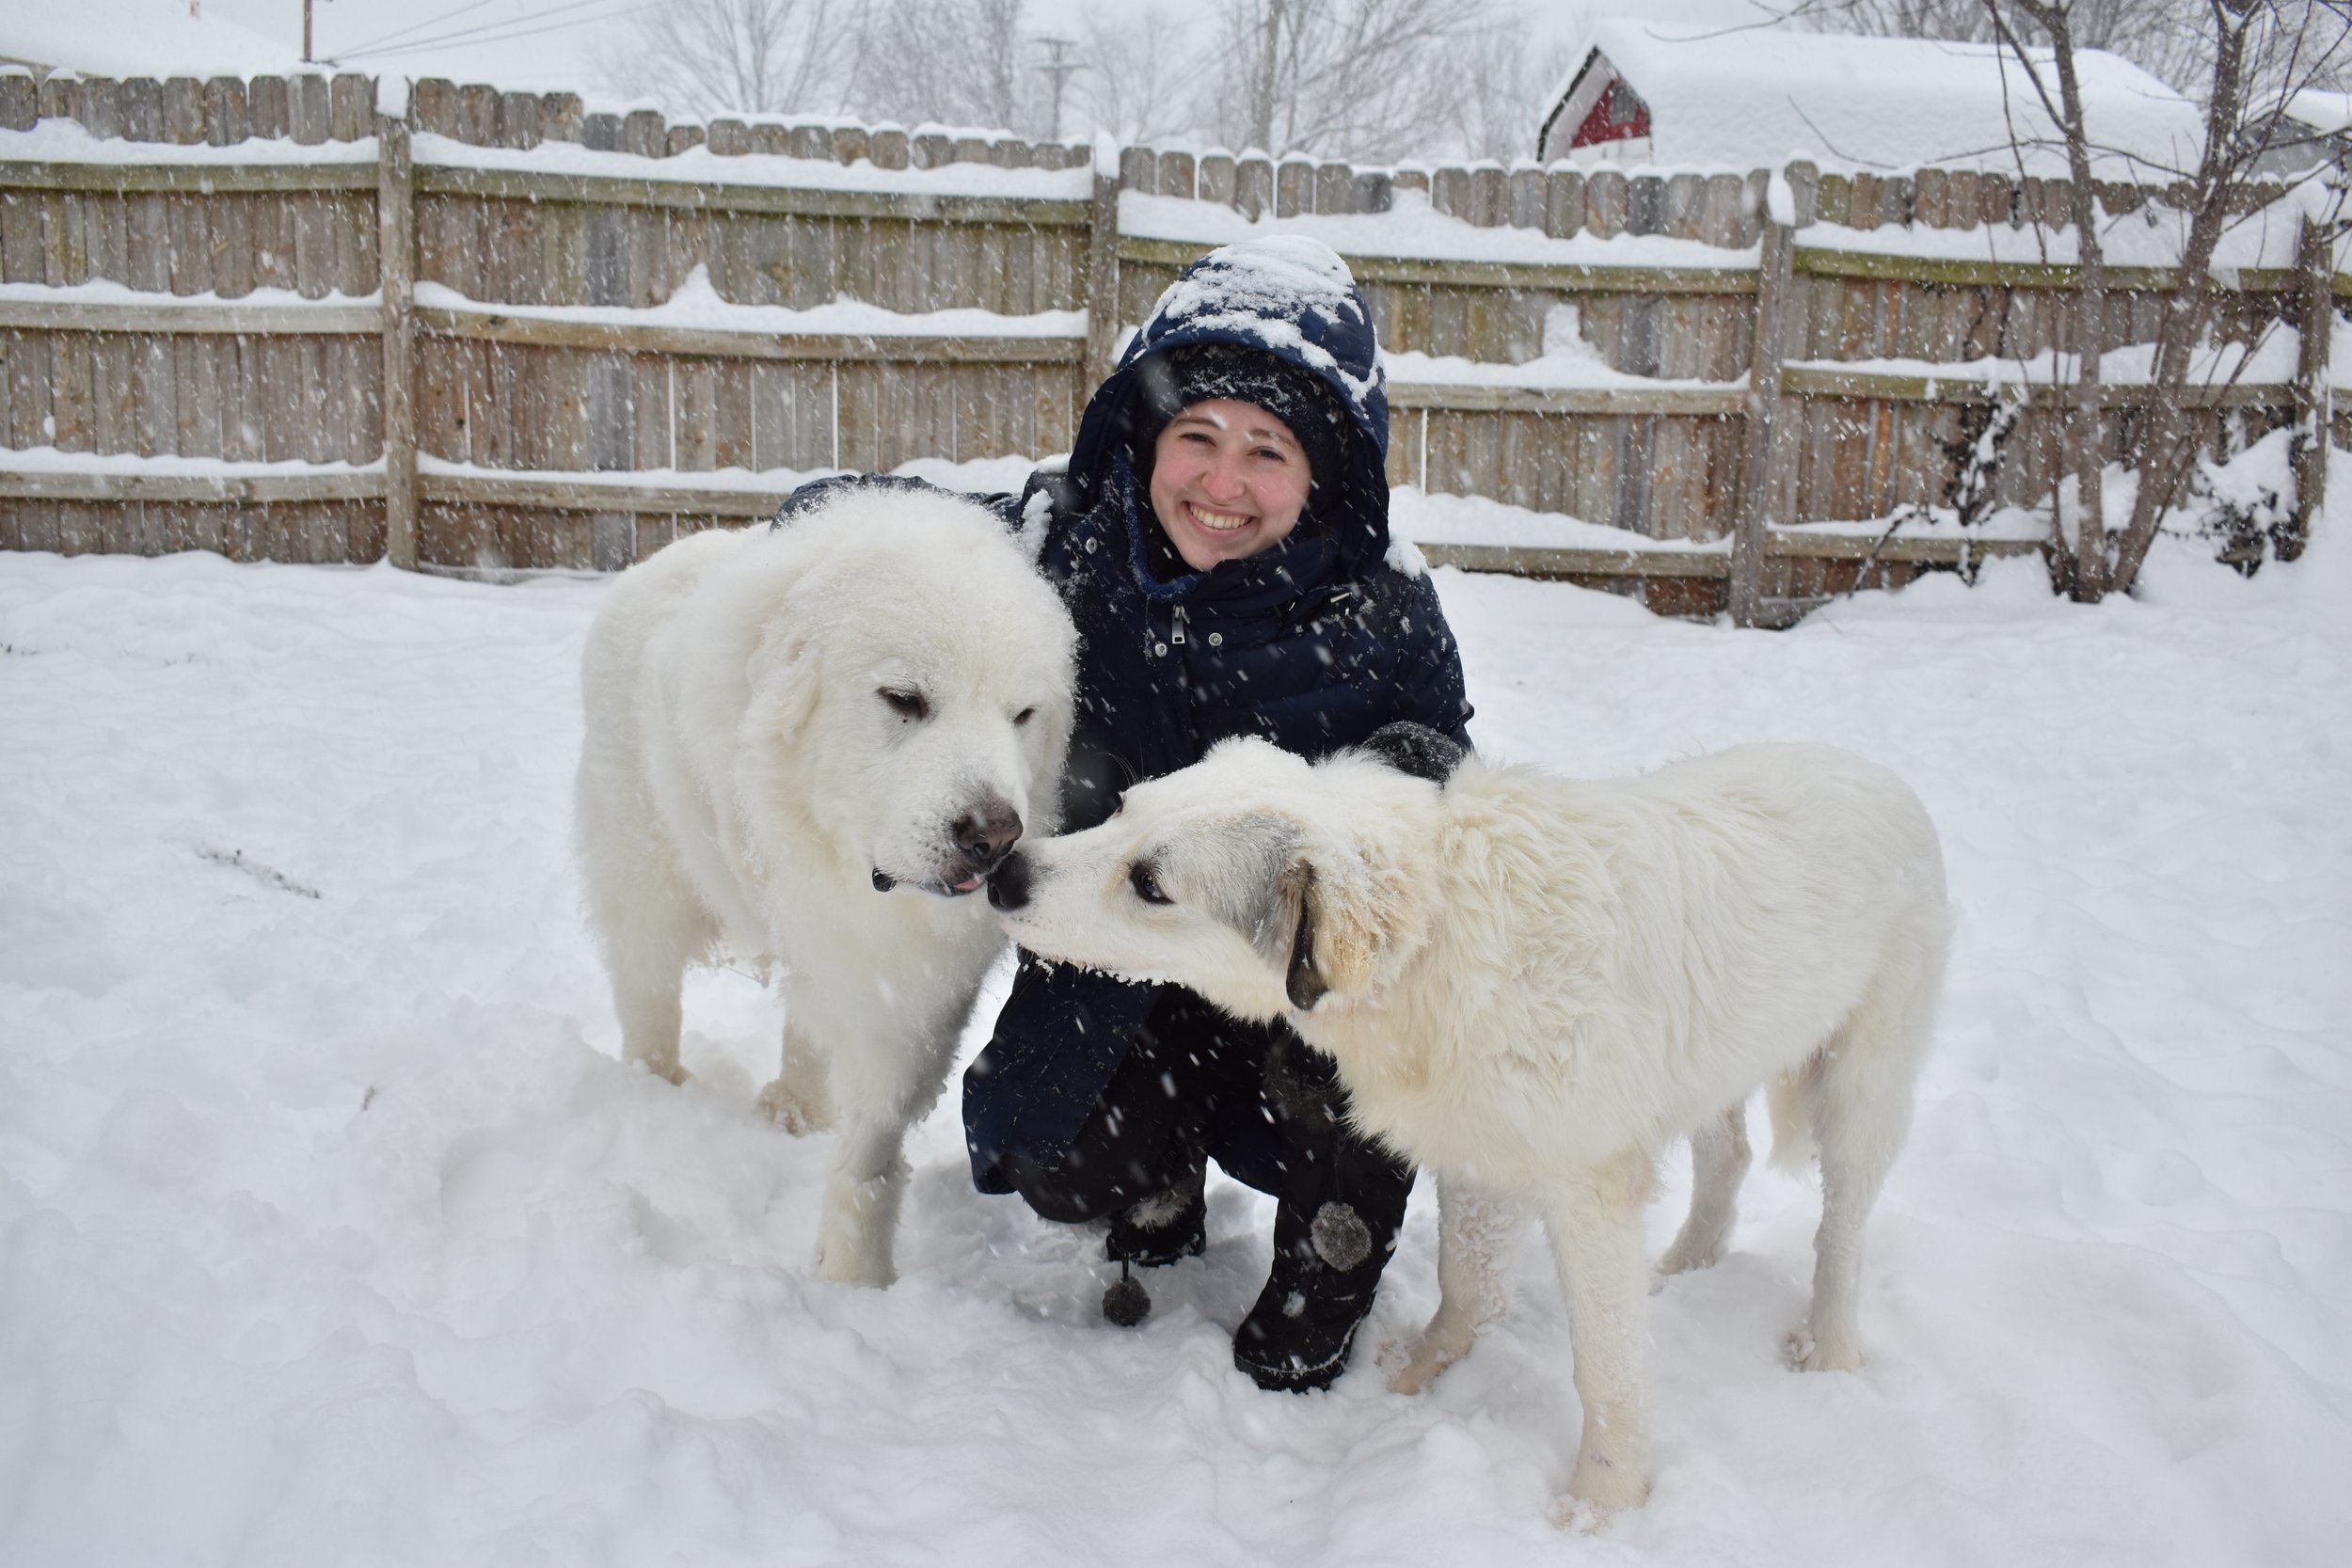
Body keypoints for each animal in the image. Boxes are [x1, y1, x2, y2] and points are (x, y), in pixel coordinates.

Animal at [579, 486, 1077, 1288]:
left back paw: (796, 1106)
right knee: (648, 994)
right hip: (641, 872)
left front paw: (856, 1275)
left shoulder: (910, 996)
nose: (995, 836)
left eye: (1022, 715)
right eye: (903, 698)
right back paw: (655, 1092)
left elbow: (870, 1144)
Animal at [993, 737, 1947, 1523]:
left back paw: (1829, 1350)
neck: (1438, 947)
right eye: (1121, 807)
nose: (1004, 873)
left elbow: (1609, 1367)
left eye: (1151, 884)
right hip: (1708, 1069)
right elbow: (1467, 1283)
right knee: (1730, 1157)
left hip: (1860, 1087)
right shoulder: (1482, 1154)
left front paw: (1605, 1499)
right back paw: (1687, 1265)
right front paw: (1424, 1371)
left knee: (1841, 1231)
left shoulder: (1587, 1192)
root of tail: (1880, 772)